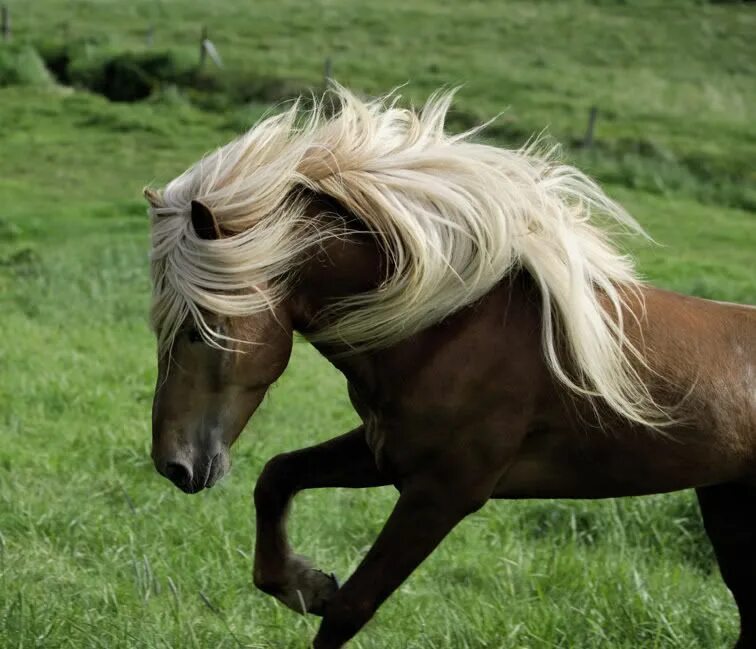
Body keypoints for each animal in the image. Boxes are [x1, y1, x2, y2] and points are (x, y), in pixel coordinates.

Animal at [145, 87, 752, 648]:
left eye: (201, 329)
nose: (173, 466)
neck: (446, 328)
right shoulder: (386, 452)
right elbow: (277, 476)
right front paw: (303, 584)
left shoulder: (444, 492)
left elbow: (350, 609)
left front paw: (315, 590)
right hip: (727, 506)